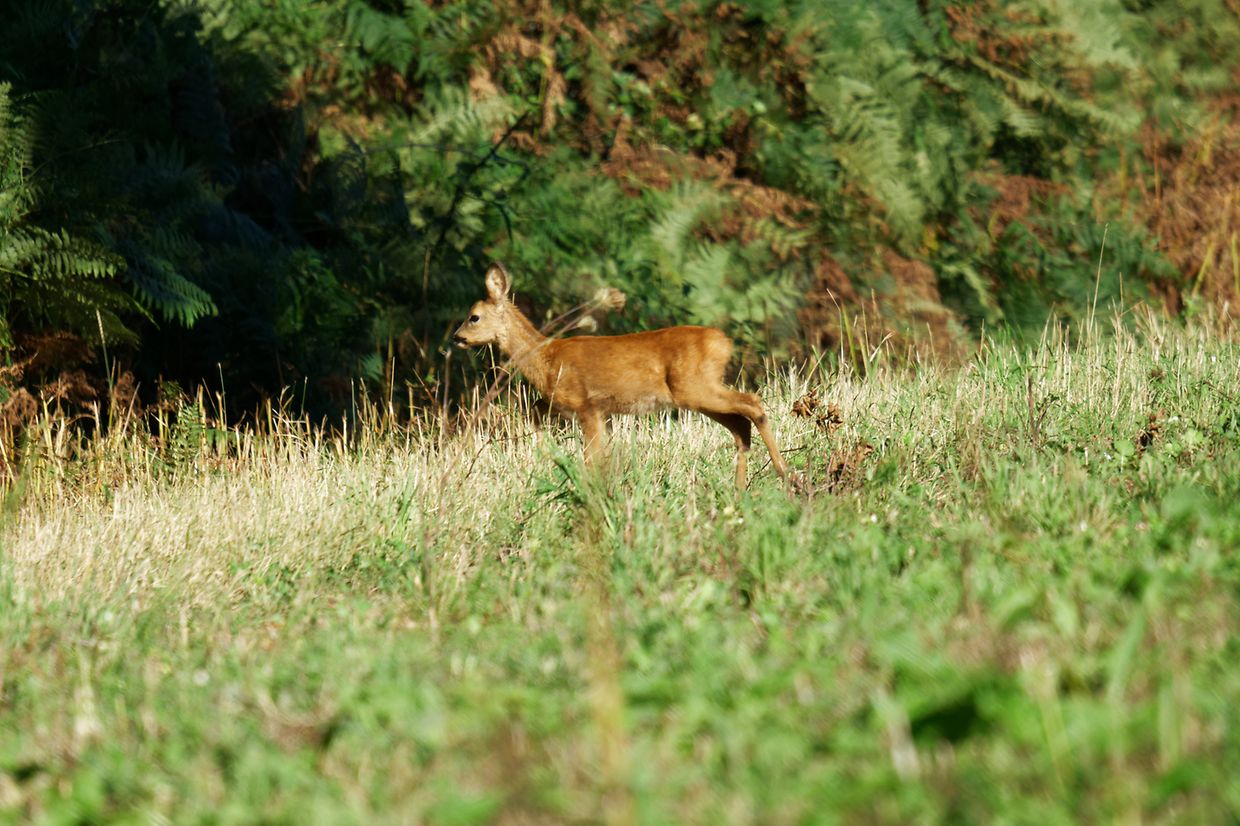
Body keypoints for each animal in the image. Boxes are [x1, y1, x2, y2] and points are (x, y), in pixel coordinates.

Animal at [453, 262, 791, 489]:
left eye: (473, 317)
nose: (456, 337)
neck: (546, 359)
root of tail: (724, 342)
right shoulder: (596, 412)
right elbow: (541, 415)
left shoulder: (587, 405)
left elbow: (591, 458)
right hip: (697, 393)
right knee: (740, 425)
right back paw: (741, 489)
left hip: (695, 386)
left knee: (753, 404)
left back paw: (784, 474)